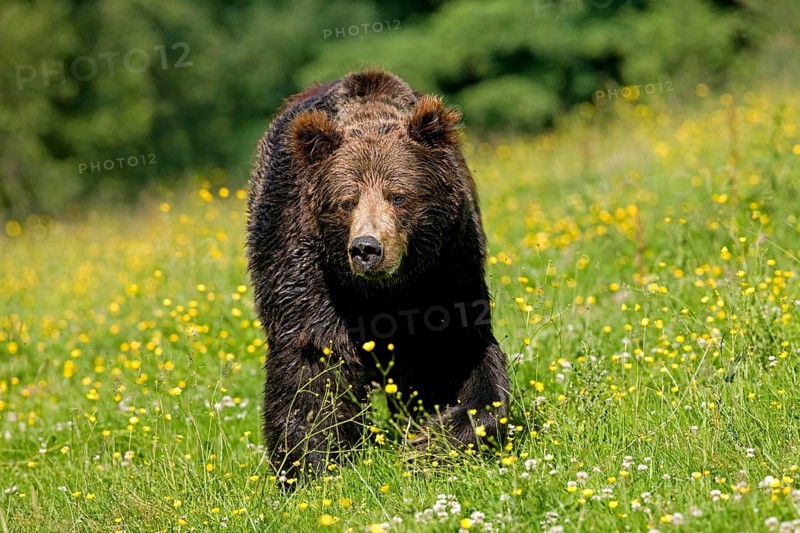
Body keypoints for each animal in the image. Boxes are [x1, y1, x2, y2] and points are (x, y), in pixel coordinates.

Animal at [246, 70, 509, 478]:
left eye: (398, 195)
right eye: (347, 201)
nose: (366, 248)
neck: (384, 290)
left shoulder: (448, 266)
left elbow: (457, 351)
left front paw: (433, 438)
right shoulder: (307, 268)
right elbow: (313, 360)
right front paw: (310, 465)